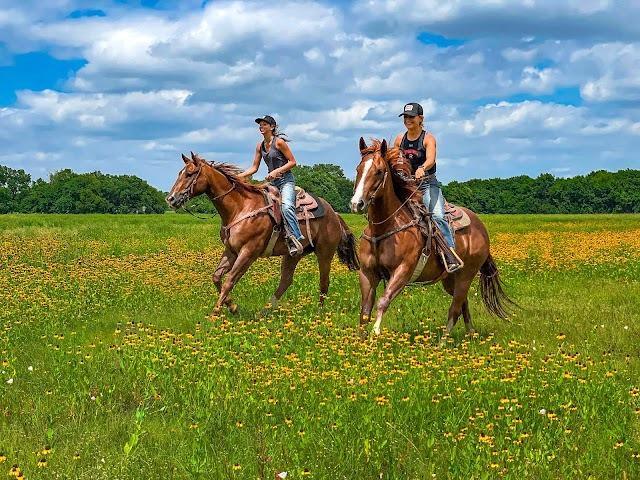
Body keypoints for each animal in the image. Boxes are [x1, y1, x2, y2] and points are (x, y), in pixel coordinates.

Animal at [165, 151, 360, 316]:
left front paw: (216, 312)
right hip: (294, 254)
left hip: (325, 253)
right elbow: (217, 277)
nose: (171, 199)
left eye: (189, 174)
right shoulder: (231, 251)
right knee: (286, 280)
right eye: (180, 173)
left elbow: (229, 280)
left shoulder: (248, 252)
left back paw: (319, 314)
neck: (241, 208)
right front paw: (232, 307)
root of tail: (334, 213)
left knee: (324, 282)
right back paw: (264, 311)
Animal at [348, 137, 512, 336]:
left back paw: (444, 341)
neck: (384, 228)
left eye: (379, 171)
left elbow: (383, 302)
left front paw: (376, 334)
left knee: (455, 309)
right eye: (358, 169)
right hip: (451, 280)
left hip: (466, 275)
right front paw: (362, 340)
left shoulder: (403, 272)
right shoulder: (367, 273)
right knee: (463, 304)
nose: (357, 204)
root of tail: (480, 227)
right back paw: (470, 335)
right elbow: (364, 311)